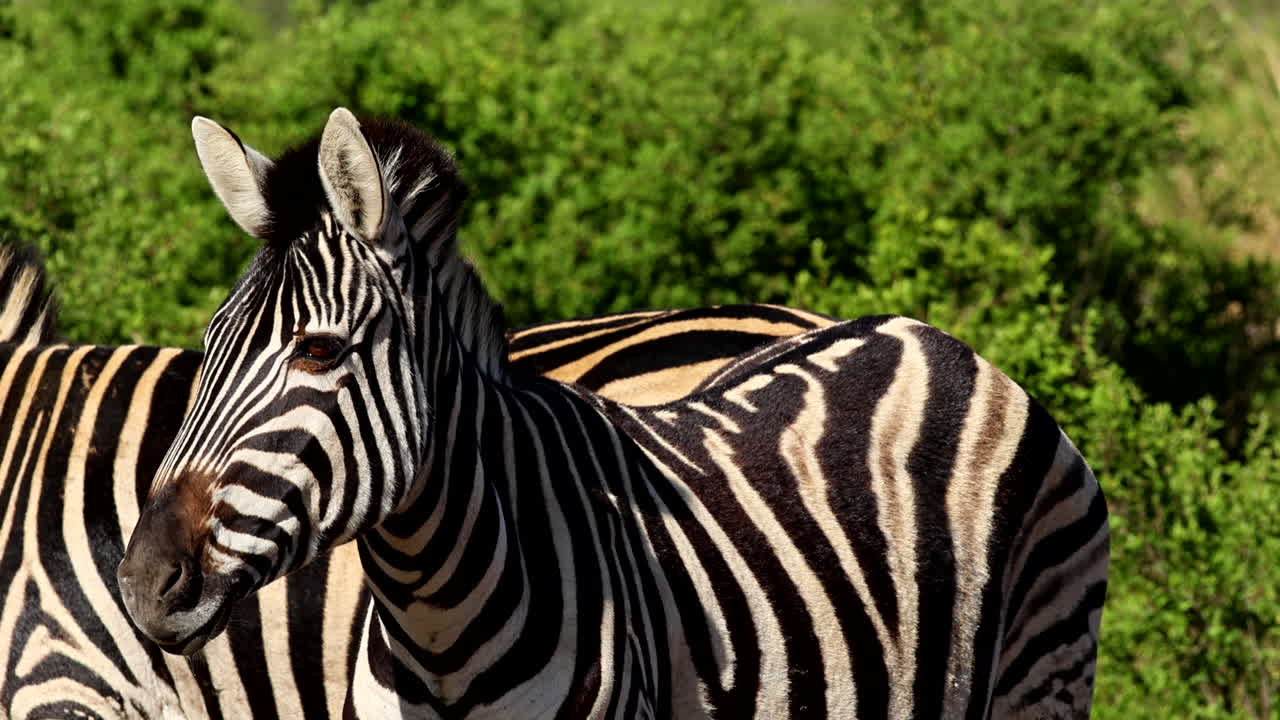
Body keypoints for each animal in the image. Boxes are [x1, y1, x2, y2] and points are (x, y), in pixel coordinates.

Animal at [118, 108, 1109, 719]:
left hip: (1045, 673)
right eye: (209, 344)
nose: (141, 582)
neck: (432, 616)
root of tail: (929, 336)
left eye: (318, 352)